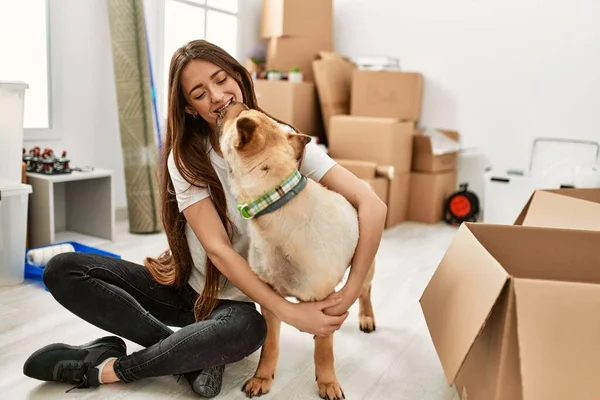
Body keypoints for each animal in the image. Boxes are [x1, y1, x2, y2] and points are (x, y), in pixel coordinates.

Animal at [218, 103, 372, 400]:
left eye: (240, 115)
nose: (235, 104)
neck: (274, 204)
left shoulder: (324, 302)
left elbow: (324, 351)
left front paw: (327, 382)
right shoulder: (270, 299)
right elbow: (270, 345)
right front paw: (263, 377)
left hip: (367, 266)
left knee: (363, 291)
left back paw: (366, 317)